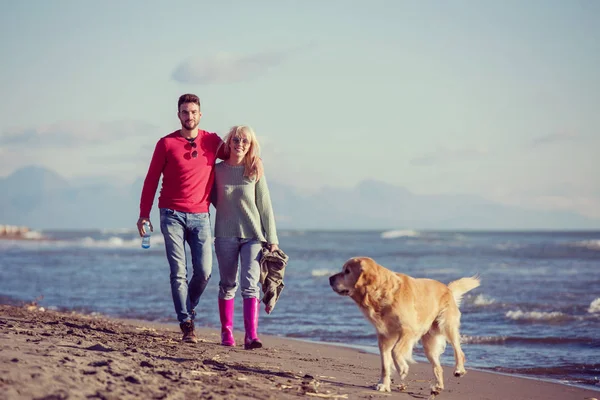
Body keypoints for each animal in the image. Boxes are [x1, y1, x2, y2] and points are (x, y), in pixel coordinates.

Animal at [330, 256, 480, 394]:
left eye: (347, 271)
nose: (330, 278)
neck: (381, 294)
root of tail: (447, 288)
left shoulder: (408, 329)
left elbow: (395, 351)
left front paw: (402, 368)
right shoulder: (384, 337)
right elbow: (385, 364)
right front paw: (384, 384)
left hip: (446, 325)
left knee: (459, 351)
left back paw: (459, 370)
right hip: (429, 344)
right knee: (438, 367)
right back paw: (438, 386)